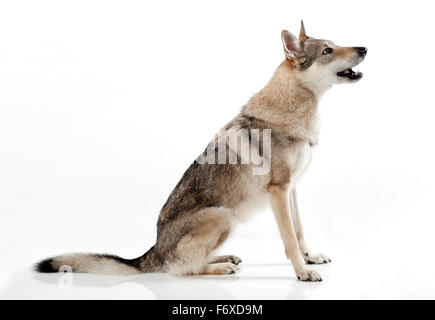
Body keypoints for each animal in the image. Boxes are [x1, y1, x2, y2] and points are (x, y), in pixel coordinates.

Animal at [35, 21, 366, 282]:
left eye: (335, 45)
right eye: (327, 51)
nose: (364, 48)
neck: (294, 110)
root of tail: (155, 248)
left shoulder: (292, 188)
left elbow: (299, 231)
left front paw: (311, 258)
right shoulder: (278, 190)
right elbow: (289, 240)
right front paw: (303, 272)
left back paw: (226, 259)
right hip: (224, 216)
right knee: (180, 269)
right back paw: (219, 269)